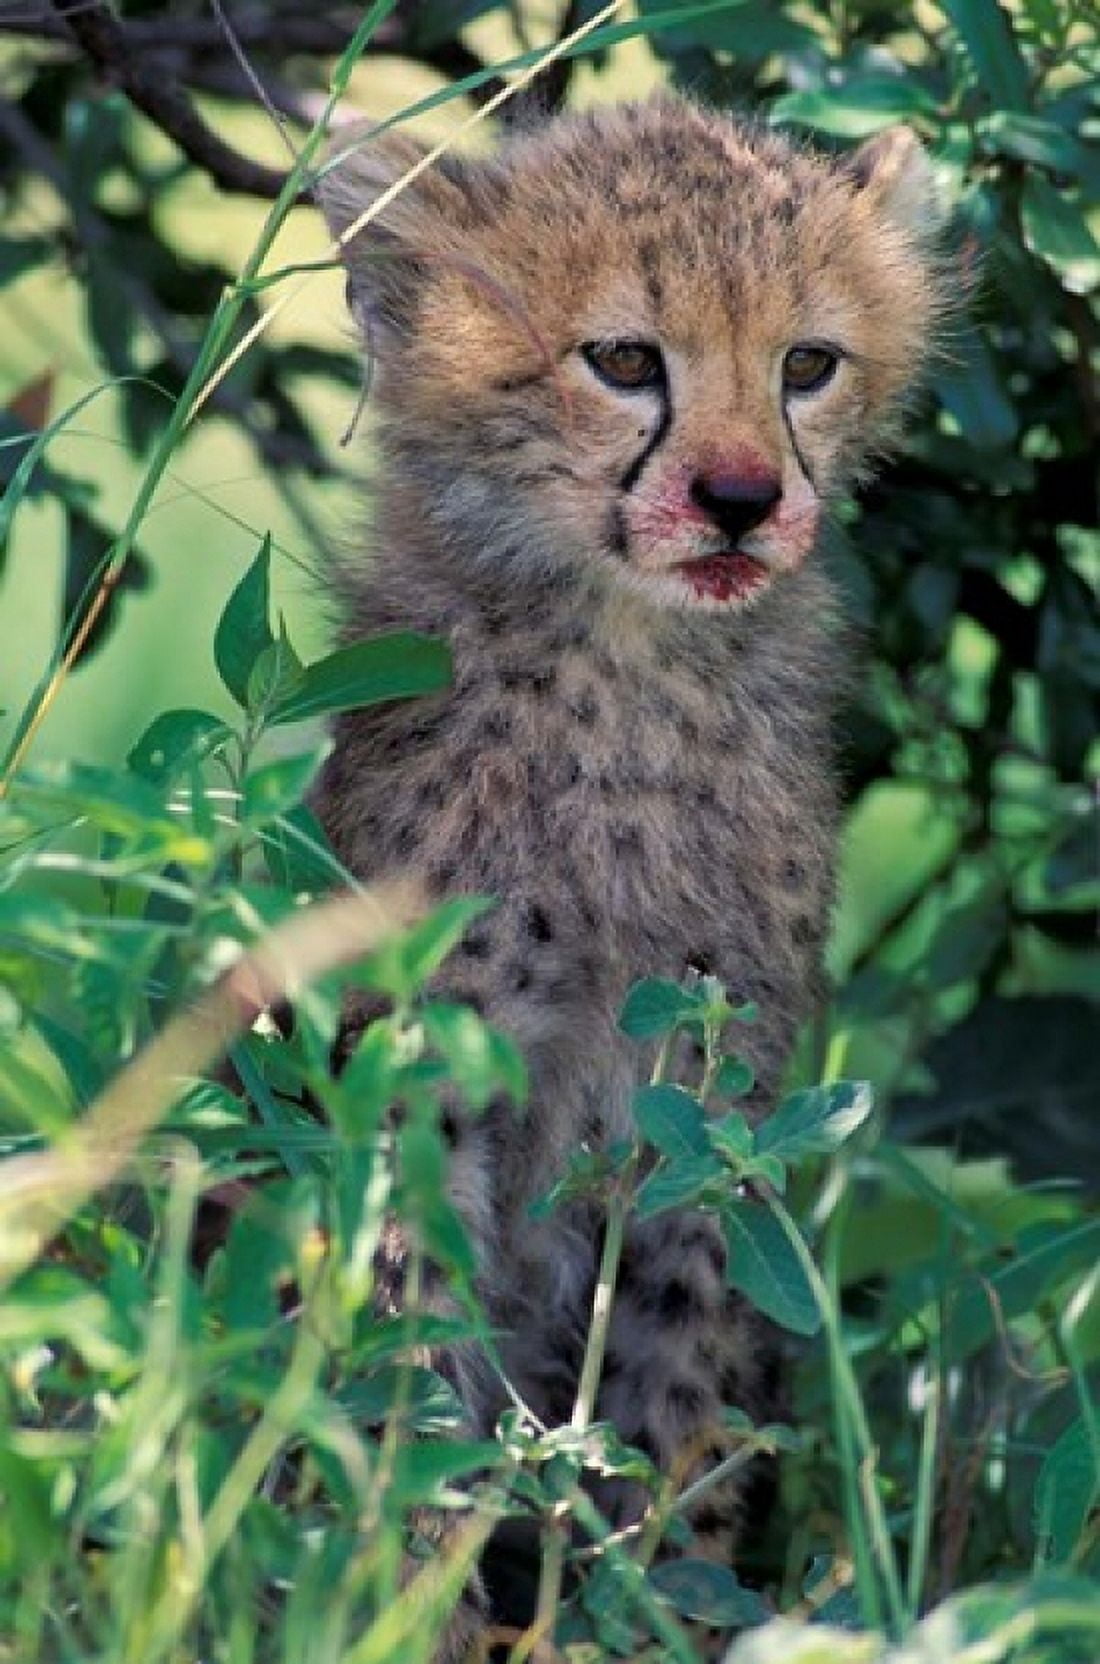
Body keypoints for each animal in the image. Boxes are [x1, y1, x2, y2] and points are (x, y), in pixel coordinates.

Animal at [312, 92, 945, 1657]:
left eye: (806, 364)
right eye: (622, 360)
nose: (739, 498)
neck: (629, 668)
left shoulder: (710, 1095)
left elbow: (682, 1397)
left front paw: (656, 1608)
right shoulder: (424, 1076)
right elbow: (407, 1370)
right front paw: (408, 1609)